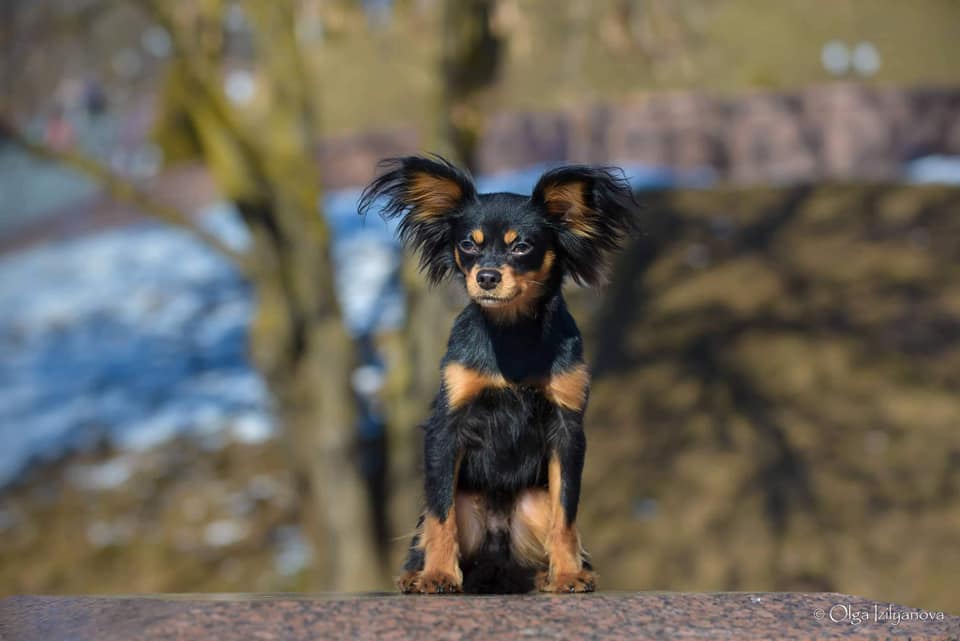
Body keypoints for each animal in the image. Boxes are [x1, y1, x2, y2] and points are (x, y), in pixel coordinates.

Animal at [359, 155, 637, 594]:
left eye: (521, 246)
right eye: (467, 244)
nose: (486, 276)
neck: (511, 330)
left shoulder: (567, 431)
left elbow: (566, 515)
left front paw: (568, 574)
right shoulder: (447, 428)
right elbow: (439, 515)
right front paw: (438, 574)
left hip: (534, 502)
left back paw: (547, 574)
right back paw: (415, 573)